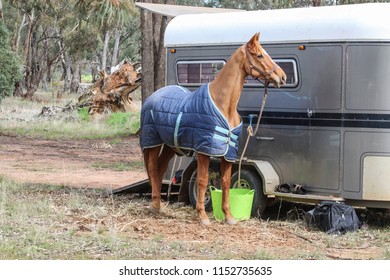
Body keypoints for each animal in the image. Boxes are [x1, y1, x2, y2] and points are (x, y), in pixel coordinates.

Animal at [142, 32, 284, 225]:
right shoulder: (204, 151)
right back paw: (155, 206)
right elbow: (202, 181)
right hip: (153, 143)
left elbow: (225, 183)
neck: (224, 105)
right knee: (152, 167)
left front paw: (229, 217)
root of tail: (152, 97)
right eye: (260, 55)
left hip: (170, 146)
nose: (282, 77)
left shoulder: (228, 153)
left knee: (159, 169)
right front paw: (202, 216)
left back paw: (159, 206)